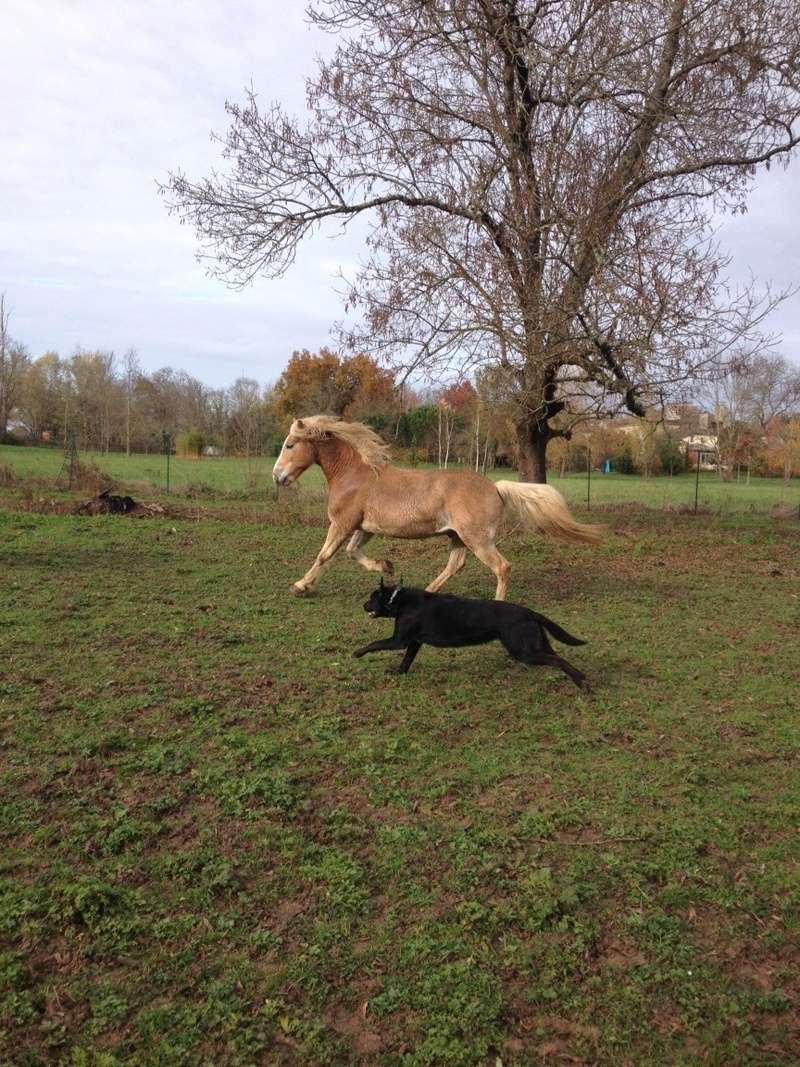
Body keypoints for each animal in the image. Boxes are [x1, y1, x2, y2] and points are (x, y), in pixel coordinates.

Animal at [273, 413, 605, 601]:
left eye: (290, 444)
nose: (278, 477)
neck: (355, 474)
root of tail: (495, 488)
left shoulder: (342, 523)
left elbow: (325, 555)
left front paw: (300, 586)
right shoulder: (364, 528)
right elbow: (353, 552)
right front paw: (386, 566)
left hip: (476, 539)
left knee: (502, 567)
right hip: (456, 536)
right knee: (455, 565)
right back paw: (427, 592)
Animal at [356, 580, 588, 687]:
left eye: (372, 598)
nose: (363, 605)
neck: (398, 600)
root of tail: (528, 611)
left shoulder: (399, 640)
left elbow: (375, 644)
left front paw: (357, 653)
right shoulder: (413, 642)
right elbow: (406, 660)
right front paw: (399, 673)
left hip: (523, 651)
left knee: (558, 661)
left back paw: (580, 682)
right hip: (536, 645)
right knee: (558, 657)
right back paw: (582, 677)